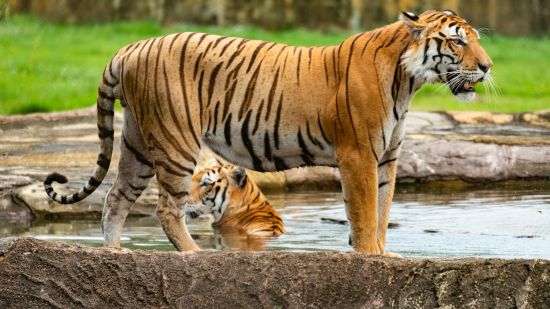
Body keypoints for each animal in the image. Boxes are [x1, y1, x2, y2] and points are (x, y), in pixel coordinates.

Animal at [42, 10, 492, 254]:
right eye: (457, 43)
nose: (488, 67)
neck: (408, 80)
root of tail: (128, 48)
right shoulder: (359, 155)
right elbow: (364, 216)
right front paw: (370, 258)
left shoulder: (387, 158)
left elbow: (381, 214)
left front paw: (384, 255)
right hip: (174, 139)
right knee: (166, 208)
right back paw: (194, 255)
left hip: (137, 140)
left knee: (115, 199)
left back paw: (115, 253)